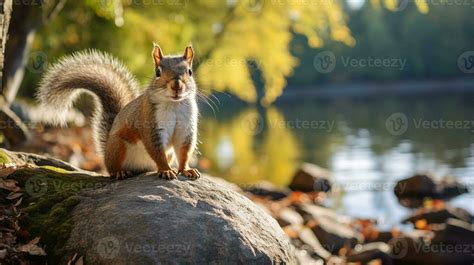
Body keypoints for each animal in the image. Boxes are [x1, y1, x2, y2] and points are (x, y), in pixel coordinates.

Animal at [37, 43, 200, 179]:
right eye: (158, 72)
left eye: (190, 71)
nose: (176, 85)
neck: (174, 105)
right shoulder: (150, 123)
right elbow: (157, 151)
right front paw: (165, 170)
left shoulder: (186, 127)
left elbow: (184, 151)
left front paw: (186, 170)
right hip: (118, 146)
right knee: (113, 169)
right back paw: (120, 172)